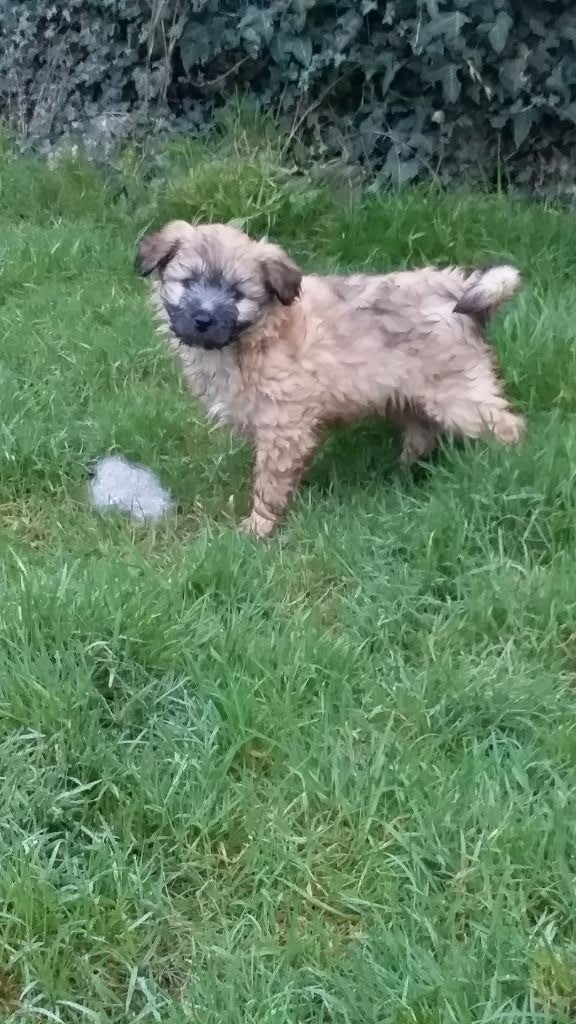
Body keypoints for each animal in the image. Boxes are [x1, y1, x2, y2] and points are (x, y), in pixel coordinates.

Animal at [136, 217, 522, 536]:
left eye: (237, 294)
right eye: (188, 283)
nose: (203, 319)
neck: (256, 335)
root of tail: (458, 289)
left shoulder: (284, 426)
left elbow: (269, 482)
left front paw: (258, 527)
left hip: (460, 394)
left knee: (507, 427)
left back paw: (505, 468)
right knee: (423, 433)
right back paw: (402, 472)